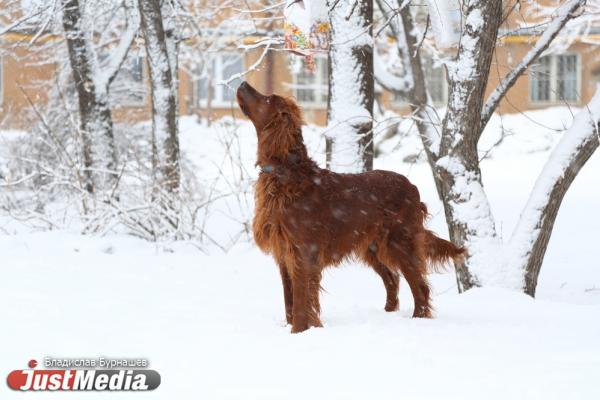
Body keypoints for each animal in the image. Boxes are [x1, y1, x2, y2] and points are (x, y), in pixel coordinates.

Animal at [238, 82, 464, 334]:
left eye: (268, 99)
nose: (243, 83)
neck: (286, 173)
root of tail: (412, 186)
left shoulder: (302, 253)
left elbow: (300, 301)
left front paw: (299, 331)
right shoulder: (283, 254)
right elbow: (289, 300)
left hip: (400, 242)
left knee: (419, 286)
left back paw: (416, 321)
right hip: (373, 247)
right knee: (392, 279)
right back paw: (388, 314)